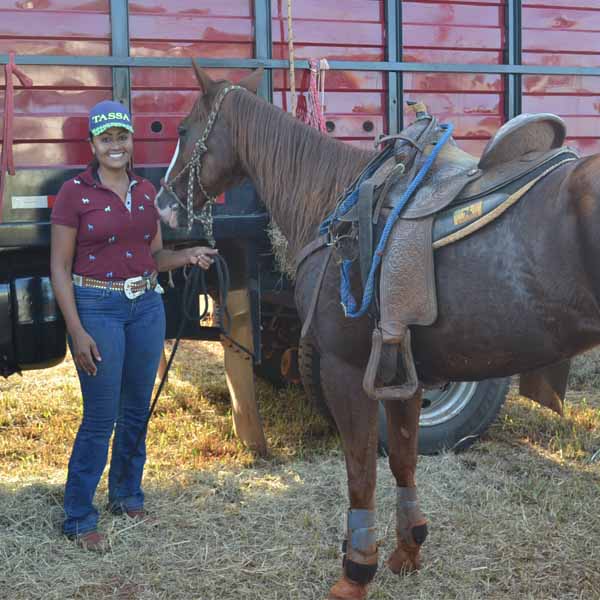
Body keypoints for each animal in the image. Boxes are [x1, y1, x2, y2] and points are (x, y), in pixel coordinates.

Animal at [155, 62, 600, 600]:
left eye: (183, 130)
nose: (162, 203)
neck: (333, 198)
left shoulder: (346, 369)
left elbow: (361, 470)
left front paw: (356, 571)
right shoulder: (405, 369)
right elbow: (403, 460)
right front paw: (408, 550)